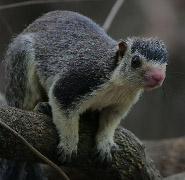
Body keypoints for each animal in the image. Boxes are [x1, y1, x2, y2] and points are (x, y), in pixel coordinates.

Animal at [1, 10, 168, 179]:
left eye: (165, 63)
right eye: (135, 61)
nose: (158, 77)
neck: (119, 86)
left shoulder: (120, 105)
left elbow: (110, 123)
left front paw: (105, 145)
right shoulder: (76, 82)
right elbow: (65, 115)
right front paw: (68, 145)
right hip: (21, 65)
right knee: (24, 104)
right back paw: (42, 107)